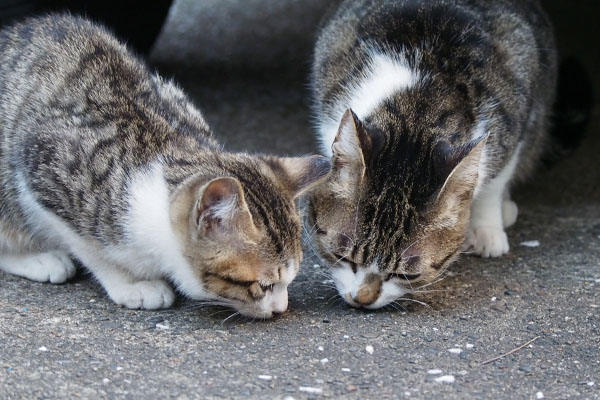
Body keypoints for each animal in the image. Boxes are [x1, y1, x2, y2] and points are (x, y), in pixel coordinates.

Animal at [0, 14, 332, 318]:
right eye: (262, 285)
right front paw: (130, 283)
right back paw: (40, 259)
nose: (281, 308)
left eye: (290, 280)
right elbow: (91, 249)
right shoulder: (43, 167)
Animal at [310, 0, 556, 310]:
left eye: (405, 274)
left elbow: (497, 176)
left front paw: (487, 227)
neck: (416, 108)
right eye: (343, 257)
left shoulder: (515, 115)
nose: (362, 300)